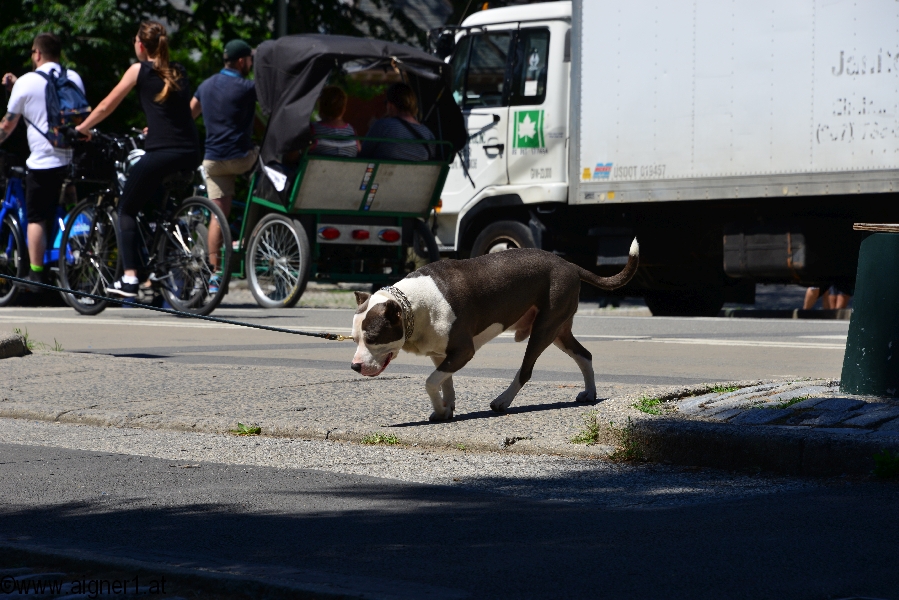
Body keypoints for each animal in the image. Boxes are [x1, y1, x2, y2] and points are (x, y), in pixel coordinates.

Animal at [351, 242, 639, 421]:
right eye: (354, 339)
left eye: (373, 339)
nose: (354, 366)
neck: (412, 304)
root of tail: (569, 265)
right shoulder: (440, 353)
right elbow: (445, 382)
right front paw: (445, 408)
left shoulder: (463, 351)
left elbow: (431, 381)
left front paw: (441, 408)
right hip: (558, 330)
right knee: (584, 355)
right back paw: (589, 393)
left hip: (544, 328)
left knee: (526, 370)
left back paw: (502, 401)